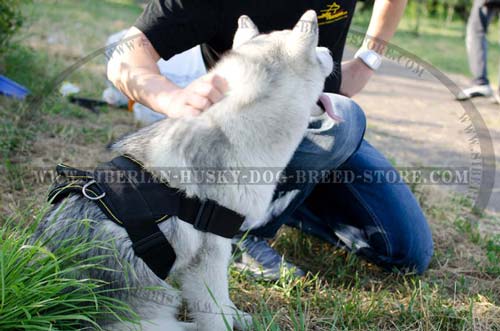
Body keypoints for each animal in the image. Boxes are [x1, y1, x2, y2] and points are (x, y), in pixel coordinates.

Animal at [34, 10, 332, 331]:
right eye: (317, 49)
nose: (330, 52)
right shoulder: (212, 250)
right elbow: (214, 307)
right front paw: (225, 322)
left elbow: (224, 303)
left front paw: (236, 315)